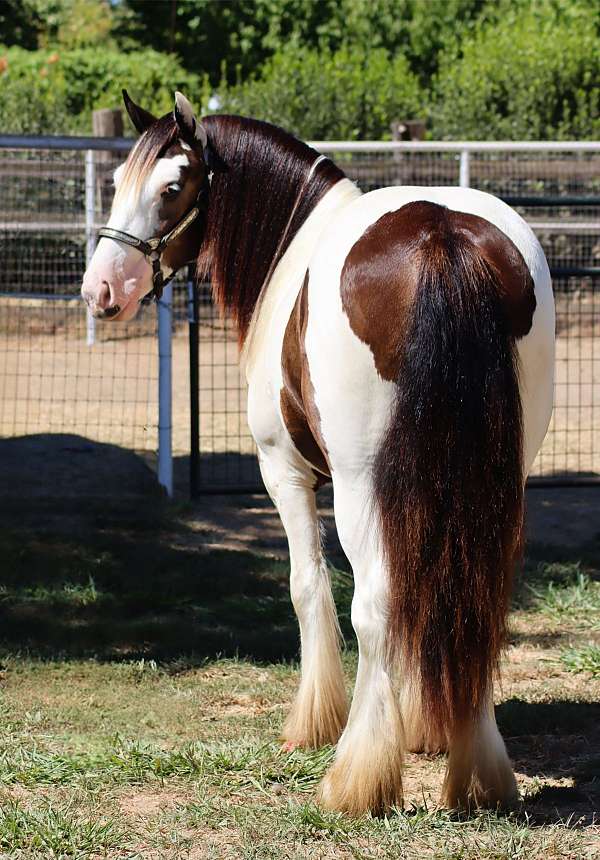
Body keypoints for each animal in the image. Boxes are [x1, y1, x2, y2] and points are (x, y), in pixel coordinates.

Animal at [81, 90, 555, 816]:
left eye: (172, 187)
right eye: (113, 183)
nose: (101, 290)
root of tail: (441, 235)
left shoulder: (286, 472)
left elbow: (308, 587)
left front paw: (315, 724)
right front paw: (424, 729)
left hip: (364, 485)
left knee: (376, 605)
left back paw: (357, 778)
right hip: (497, 481)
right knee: (473, 598)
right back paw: (478, 770)